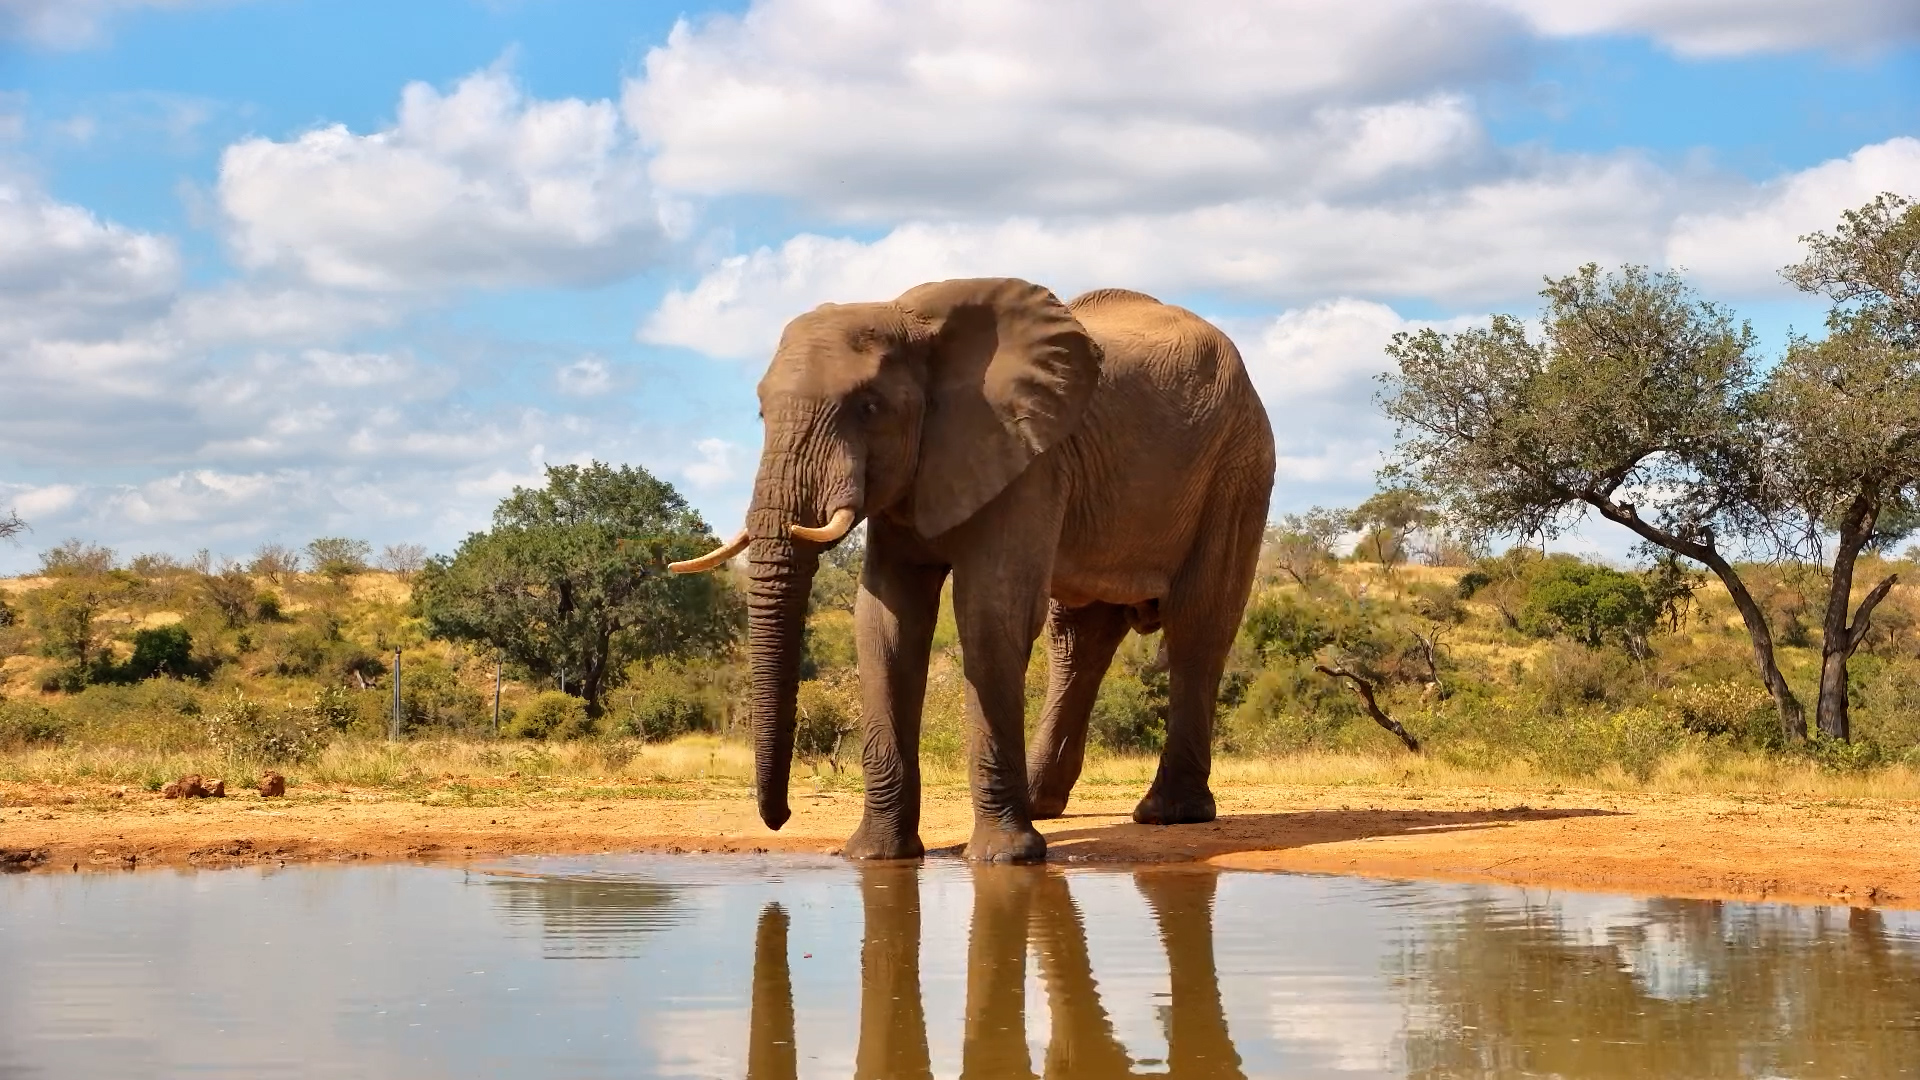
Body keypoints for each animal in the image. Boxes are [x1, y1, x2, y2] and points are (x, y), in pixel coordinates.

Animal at [672, 277, 1275, 862]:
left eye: (869, 407)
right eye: (761, 412)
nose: (780, 819)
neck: (909, 318)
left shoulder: (1028, 459)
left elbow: (991, 610)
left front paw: (1005, 858)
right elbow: (886, 621)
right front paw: (874, 856)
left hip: (1238, 466)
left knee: (1198, 625)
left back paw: (1169, 813)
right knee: (1077, 639)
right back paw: (1043, 801)